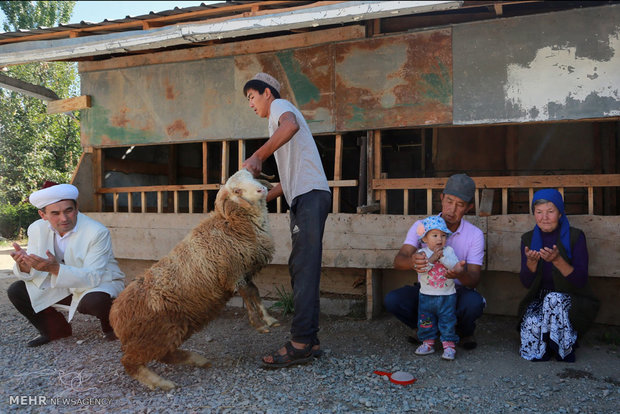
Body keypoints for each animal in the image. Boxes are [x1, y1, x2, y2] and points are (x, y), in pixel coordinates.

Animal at [109, 169, 278, 392]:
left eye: (251, 176)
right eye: (237, 190)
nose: (261, 190)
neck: (232, 223)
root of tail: (115, 318)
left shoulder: (244, 272)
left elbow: (255, 293)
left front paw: (268, 319)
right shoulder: (232, 273)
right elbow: (248, 294)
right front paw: (258, 324)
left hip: (173, 331)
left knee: (166, 356)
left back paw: (198, 360)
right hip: (155, 335)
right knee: (130, 363)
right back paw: (161, 382)